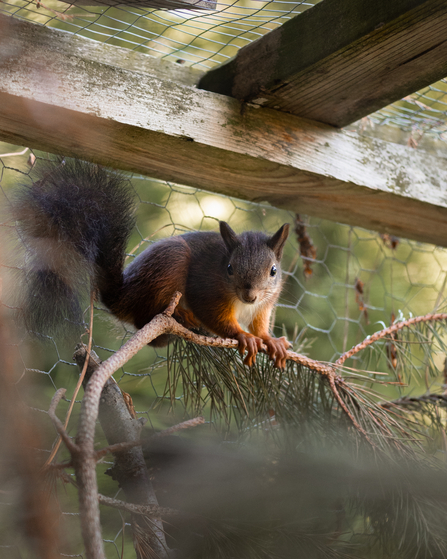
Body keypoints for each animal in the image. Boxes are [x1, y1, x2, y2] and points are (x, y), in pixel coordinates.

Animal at [13, 159, 290, 368]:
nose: (250, 295)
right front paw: (243, 335)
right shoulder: (207, 290)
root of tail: (120, 298)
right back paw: (180, 315)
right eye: (230, 268)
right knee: (145, 320)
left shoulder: (265, 305)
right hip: (170, 263)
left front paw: (270, 340)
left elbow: (260, 324)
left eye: (273, 271)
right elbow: (214, 316)